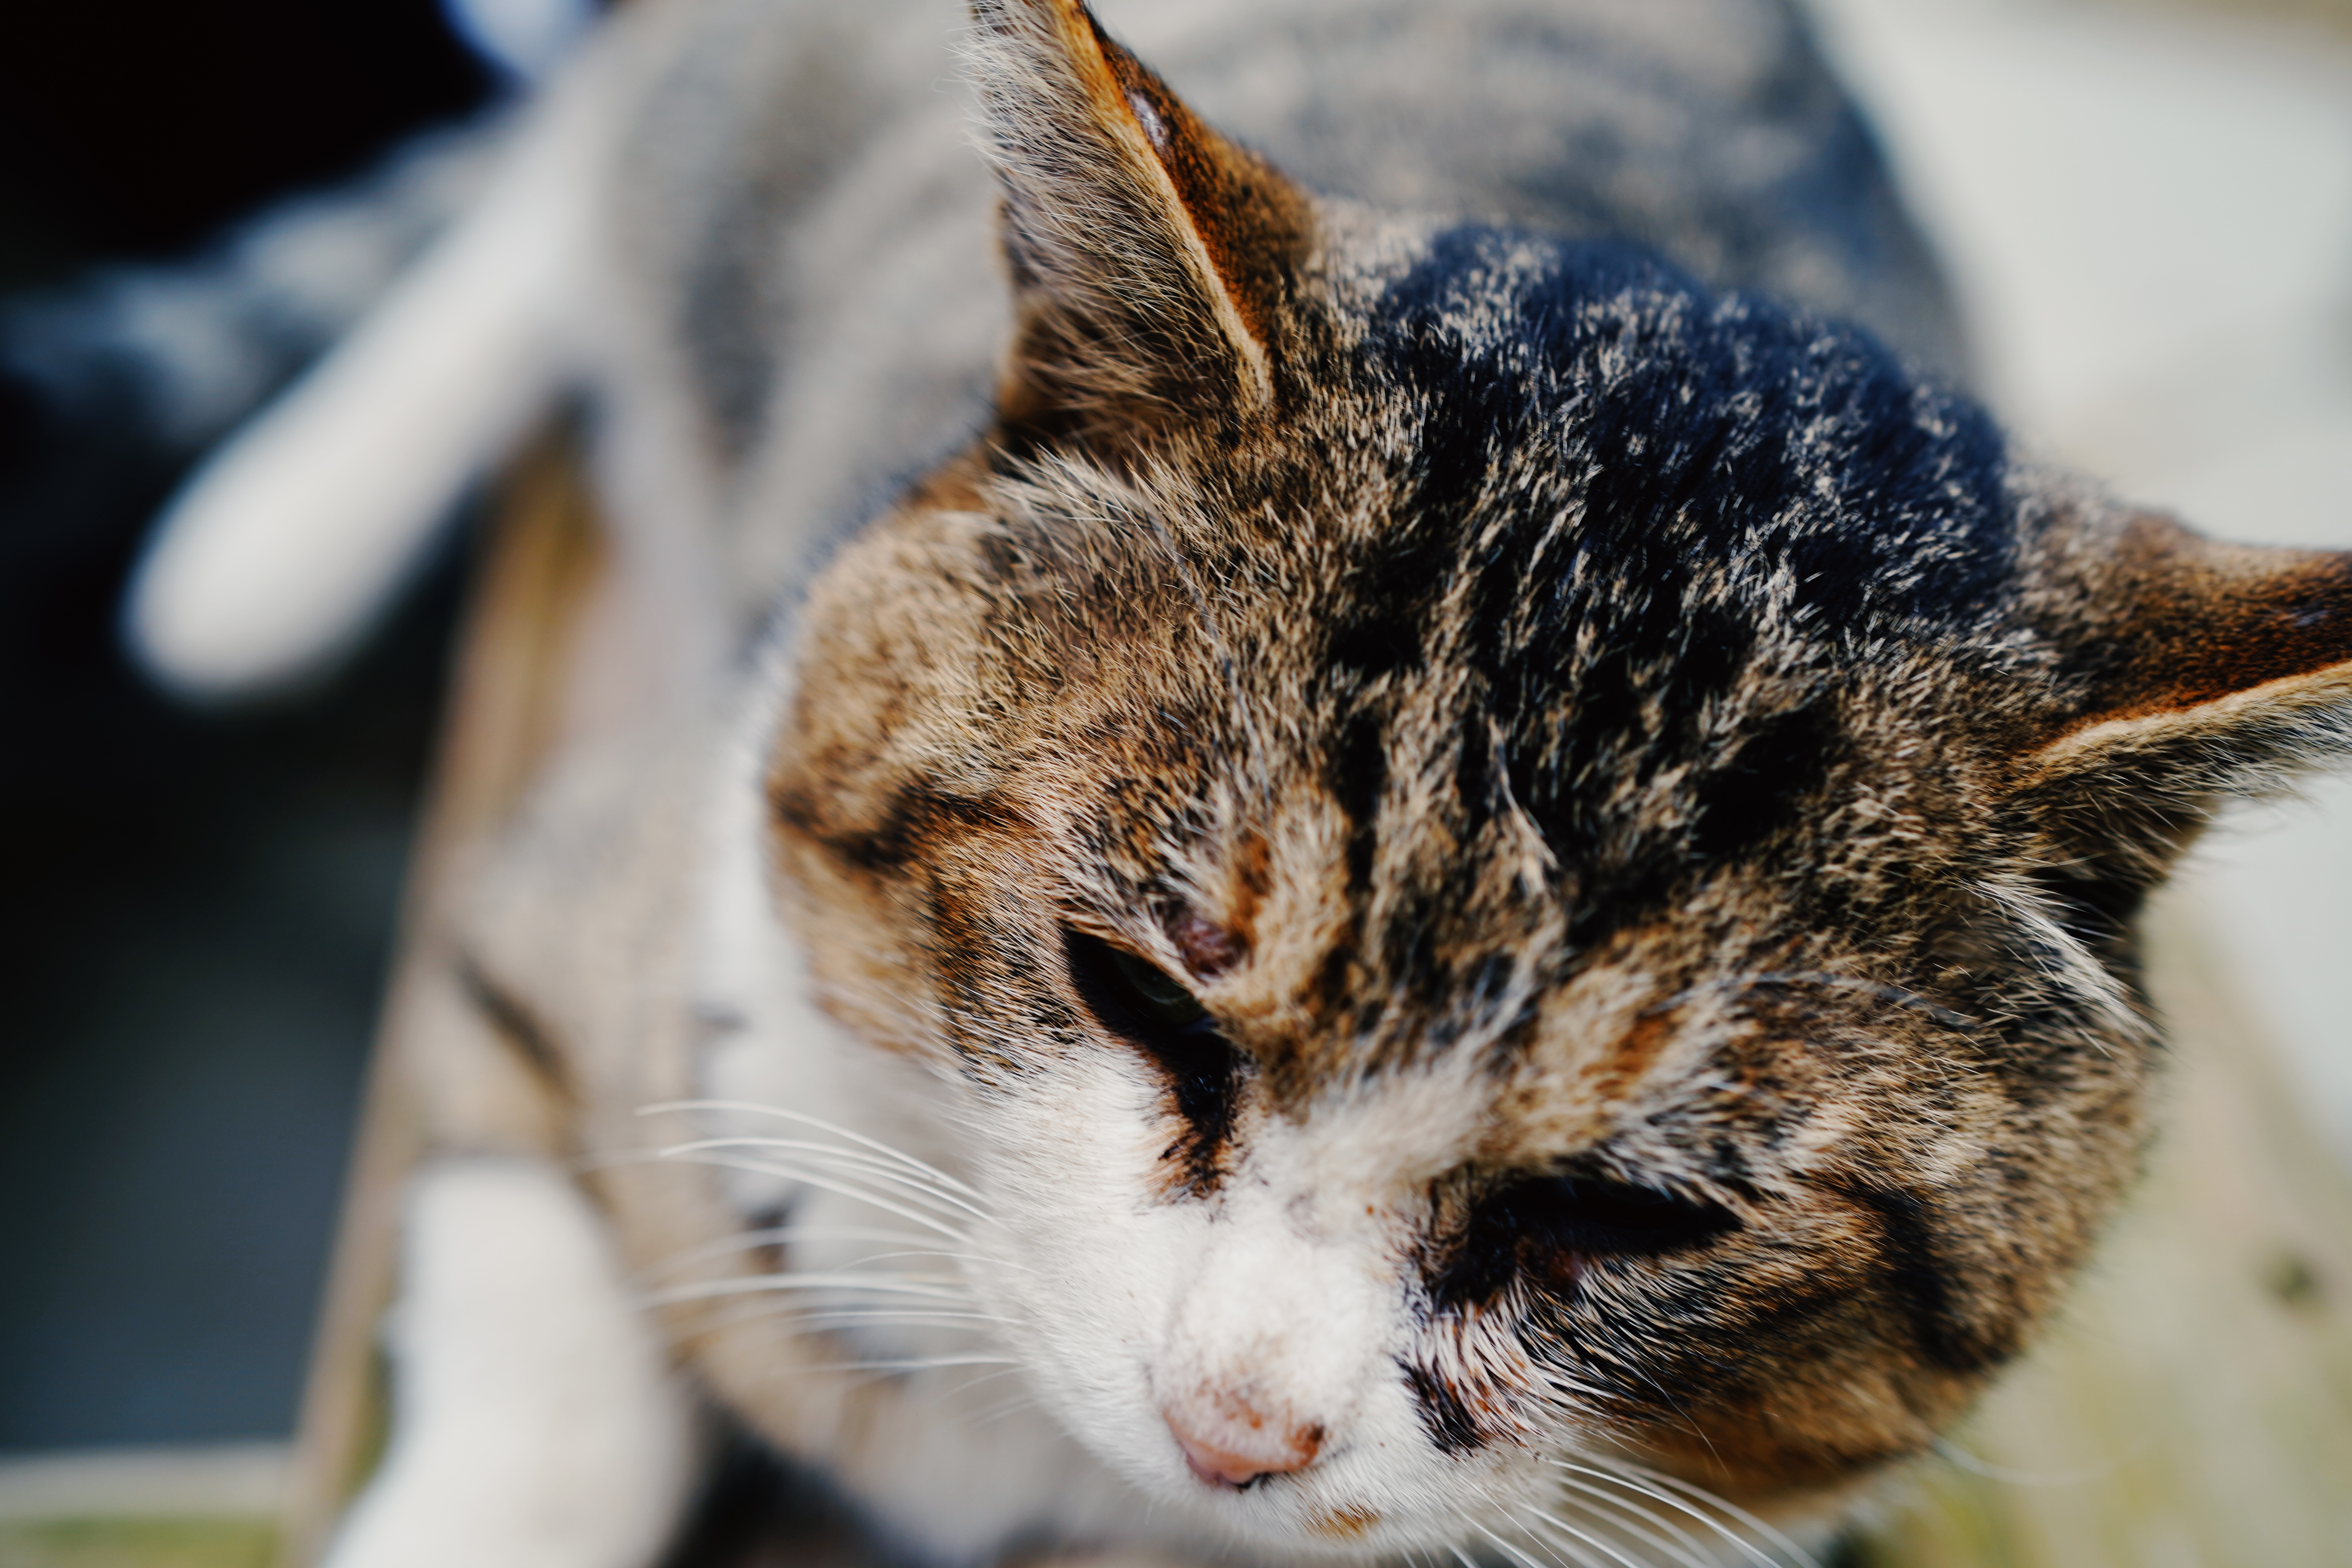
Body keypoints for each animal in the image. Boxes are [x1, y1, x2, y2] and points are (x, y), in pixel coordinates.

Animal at [119, 3, 2352, 1568]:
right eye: (1135, 990)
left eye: (1625, 1212)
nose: (1233, 1424)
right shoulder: (593, 932)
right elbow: (543, 1366)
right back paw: (264, 542)